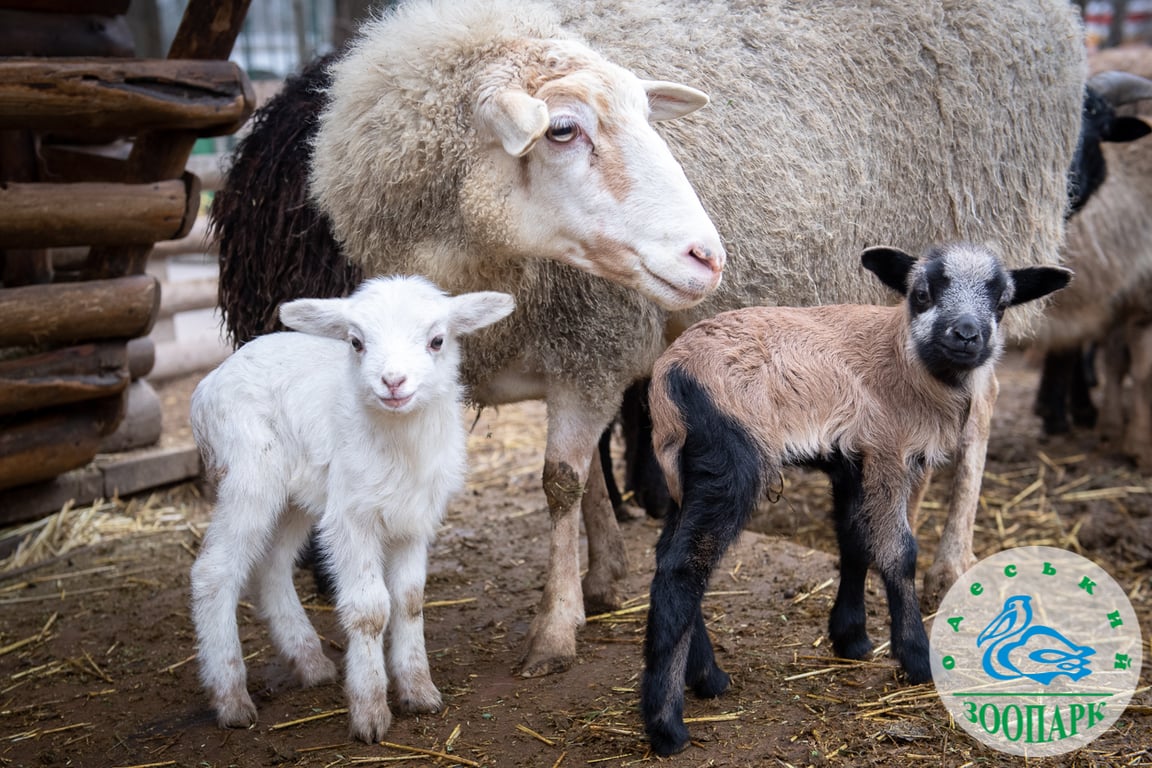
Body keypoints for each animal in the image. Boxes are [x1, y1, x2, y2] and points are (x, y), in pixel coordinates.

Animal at [190, 276, 513, 746]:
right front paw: (370, 711)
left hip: (296, 495)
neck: (399, 442)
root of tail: (206, 386)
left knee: (271, 564)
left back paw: (310, 662)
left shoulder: (413, 520)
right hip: (250, 474)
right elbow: (370, 610)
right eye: (356, 342)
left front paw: (419, 691)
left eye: (437, 340)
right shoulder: (351, 519)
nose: (393, 381)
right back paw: (230, 696)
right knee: (214, 572)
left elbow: (410, 600)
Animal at [209, 0, 1087, 677]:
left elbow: (561, 481)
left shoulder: (593, 343)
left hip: (975, 262)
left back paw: (950, 559)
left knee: (978, 414)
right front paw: (601, 576)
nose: (708, 254)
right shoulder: (573, 353)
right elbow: (580, 478)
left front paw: (556, 628)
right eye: (561, 130)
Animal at [649, 246, 1069, 755]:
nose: (967, 335)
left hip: (686, 470)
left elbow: (853, 540)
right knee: (684, 569)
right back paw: (667, 725)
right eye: (921, 294)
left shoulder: (853, 457)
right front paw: (915, 657)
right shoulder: (888, 451)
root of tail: (669, 376)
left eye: (1002, 303)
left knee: (671, 555)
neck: (906, 359)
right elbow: (898, 551)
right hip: (729, 458)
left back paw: (708, 677)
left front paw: (851, 638)